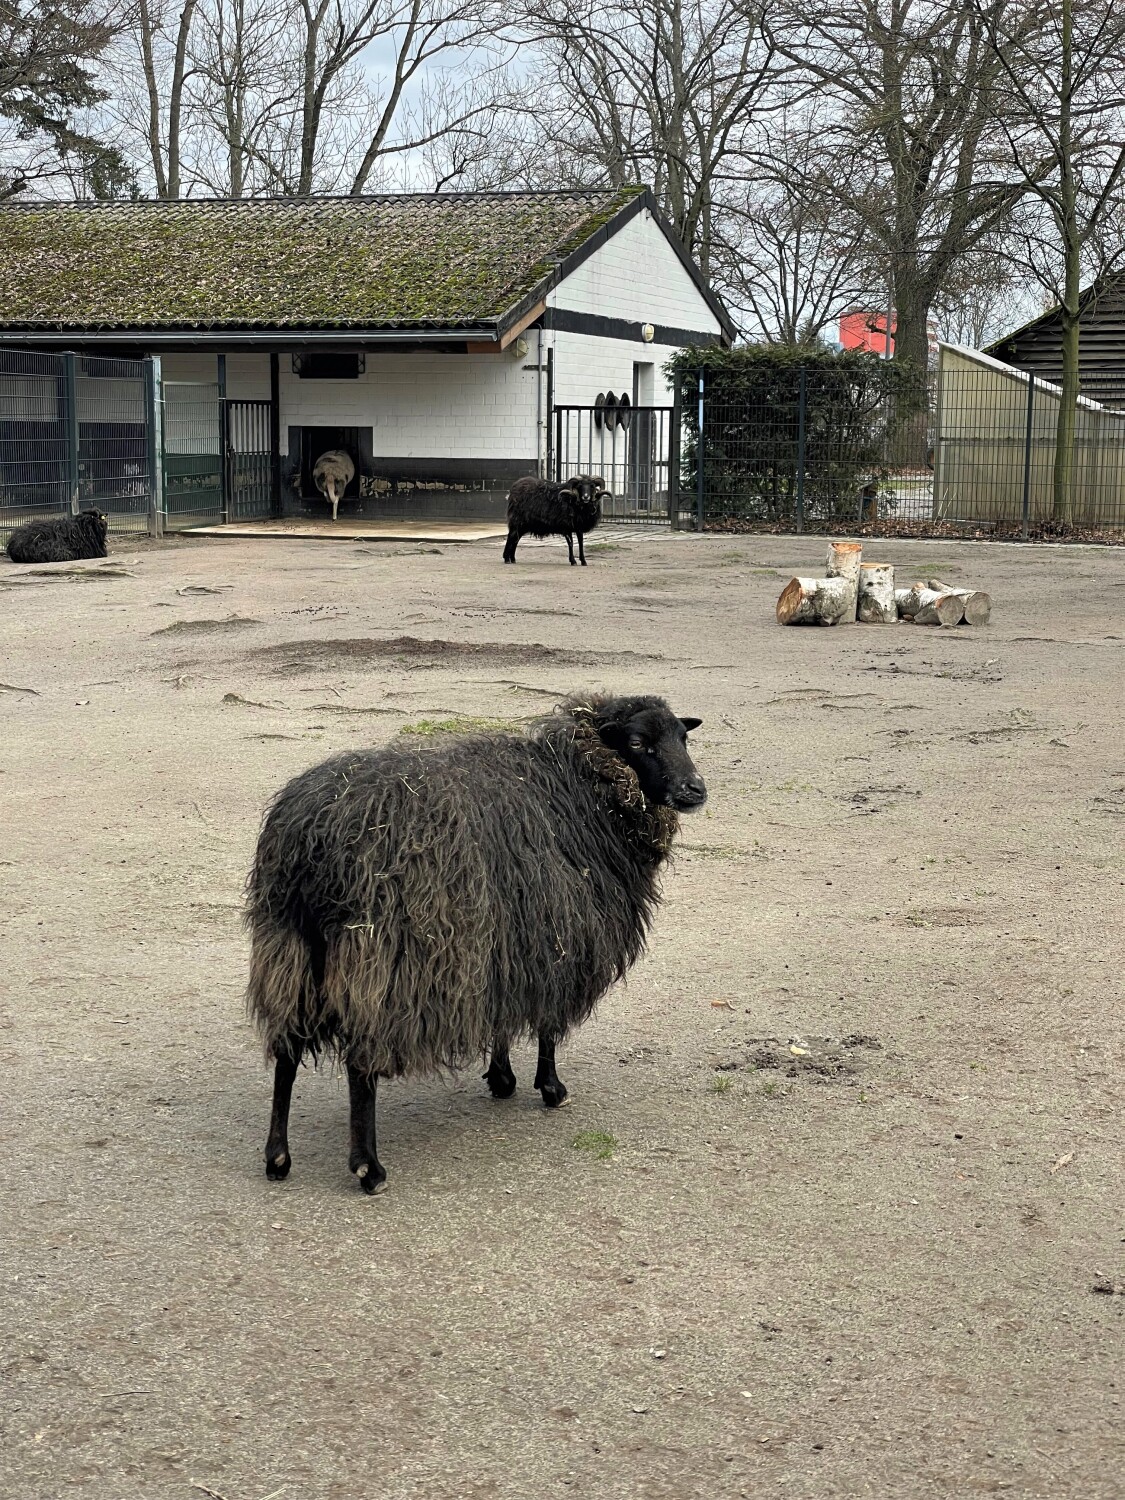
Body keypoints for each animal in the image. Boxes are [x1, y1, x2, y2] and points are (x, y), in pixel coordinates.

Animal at [246, 690, 705, 1194]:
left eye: (683, 737)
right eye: (639, 743)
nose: (695, 790)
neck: (582, 785)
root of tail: (312, 840)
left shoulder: (508, 941)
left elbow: (502, 1014)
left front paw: (502, 1078)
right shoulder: (557, 935)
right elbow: (548, 1024)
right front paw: (551, 1088)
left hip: (289, 951)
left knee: (286, 1052)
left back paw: (277, 1156)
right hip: (380, 961)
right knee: (360, 1064)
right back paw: (369, 1166)